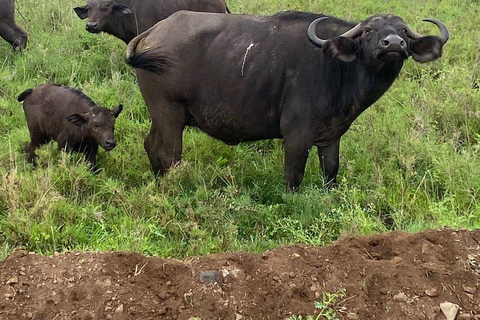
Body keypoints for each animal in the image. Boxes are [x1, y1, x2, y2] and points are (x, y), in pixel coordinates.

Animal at [125, 10, 448, 190]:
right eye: (369, 31)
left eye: (404, 31)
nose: (393, 44)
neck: (337, 67)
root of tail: (153, 32)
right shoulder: (296, 137)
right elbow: (293, 177)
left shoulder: (331, 137)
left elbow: (331, 173)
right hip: (169, 114)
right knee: (170, 155)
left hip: (161, 115)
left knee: (151, 145)